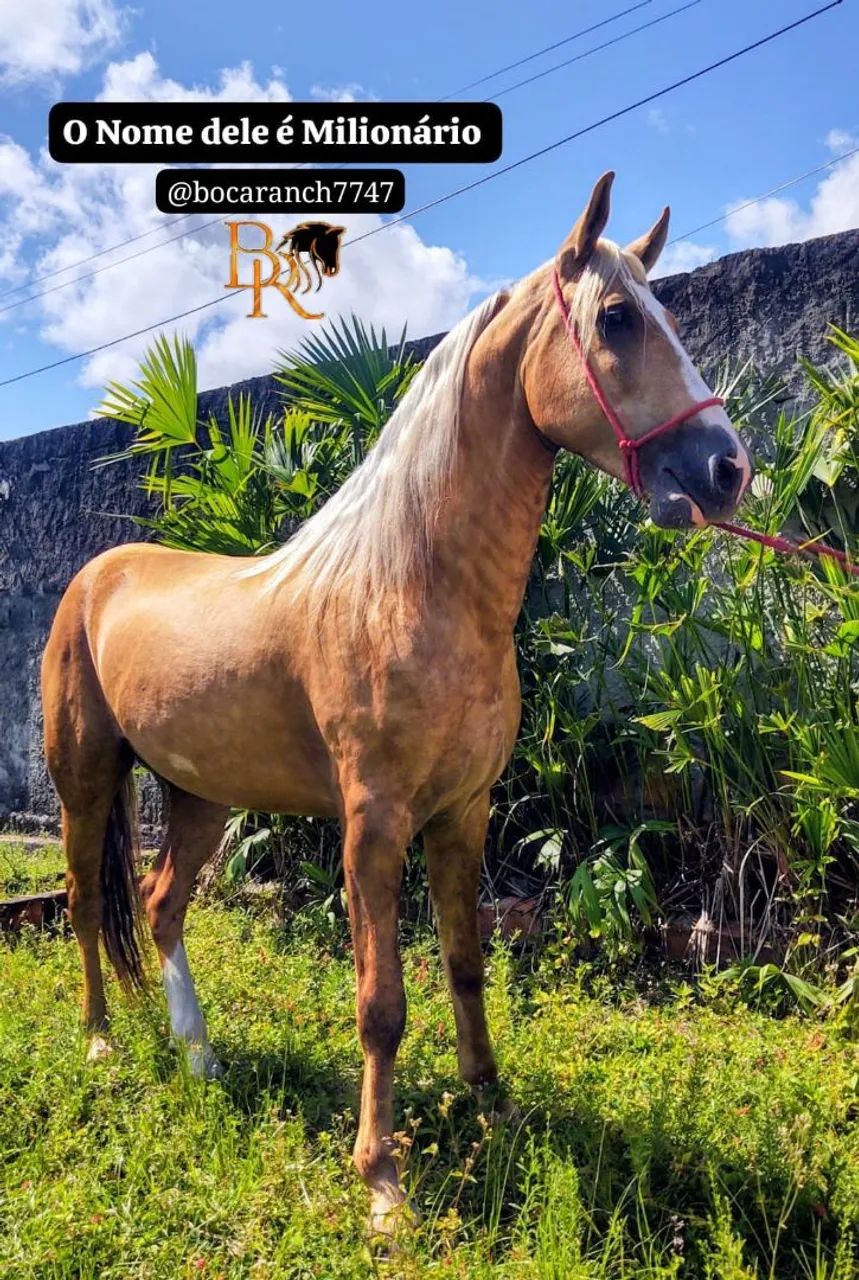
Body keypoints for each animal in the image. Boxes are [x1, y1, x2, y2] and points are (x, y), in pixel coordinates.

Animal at [42, 173, 753, 1235]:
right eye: (618, 318)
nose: (725, 469)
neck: (410, 585)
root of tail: (98, 574)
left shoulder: (462, 814)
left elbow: (464, 963)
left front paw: (493, 1105)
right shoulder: (373, 826)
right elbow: (381, 1004)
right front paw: (381, 1181)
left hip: (201, 796)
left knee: (163, 907)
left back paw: (201, 1057)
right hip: (85, 780)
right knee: (90, 903)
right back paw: (99, 1043)